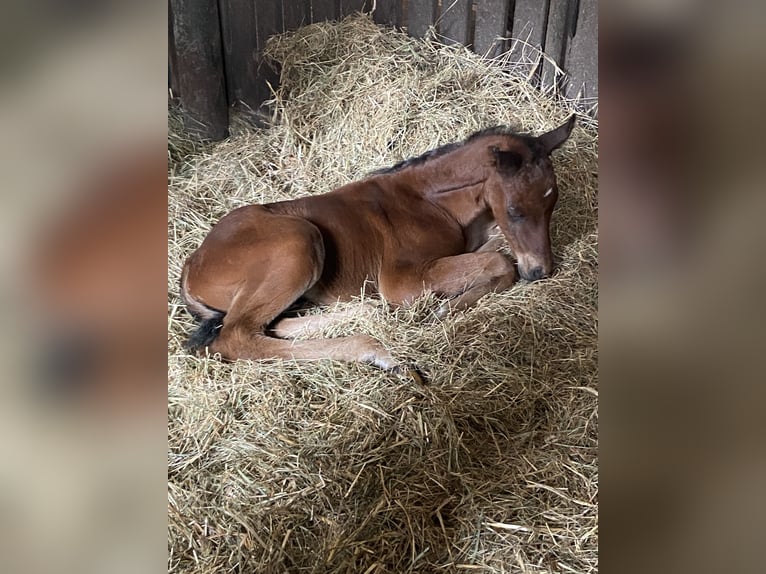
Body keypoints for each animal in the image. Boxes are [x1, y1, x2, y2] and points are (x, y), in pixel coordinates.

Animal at [180, 116, 576, 374]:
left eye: (553, 203)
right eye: (515, 210)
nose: (541, 271)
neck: (430, 202)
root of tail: (191, 264)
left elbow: (499, 254)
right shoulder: (402, 280)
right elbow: (500, 262)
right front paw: (444, 309)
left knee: (275, 325)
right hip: (298, 242)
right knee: (237, 336)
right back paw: (376, 351)